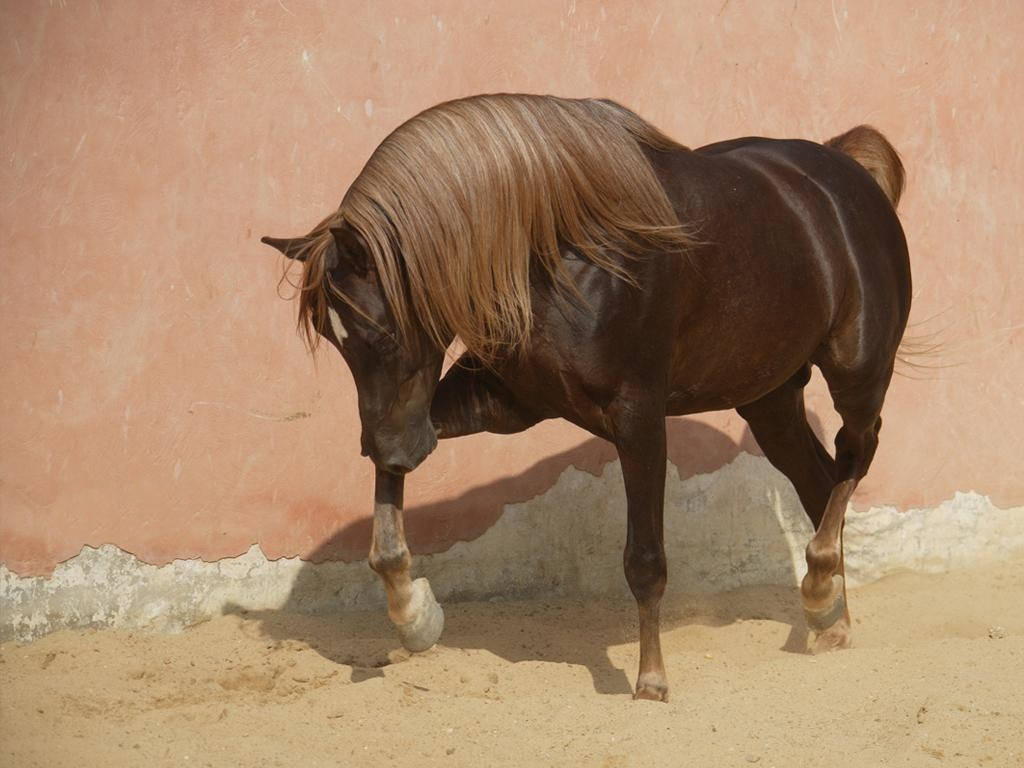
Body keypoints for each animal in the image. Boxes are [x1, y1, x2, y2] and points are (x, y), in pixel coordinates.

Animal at [260, 91, 909, 704]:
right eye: (331, 337)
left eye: (382, 329)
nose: (391, 447)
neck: (560, 249)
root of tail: (844, 171)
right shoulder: (503, 402)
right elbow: (388, 525)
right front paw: (414, 617)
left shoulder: (639, 416)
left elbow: (644, 558)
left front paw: (651, 681)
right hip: (768, 397)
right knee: (819, 481)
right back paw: (831, 619)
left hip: (857, 371)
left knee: (856, 454)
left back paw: (820, 586)